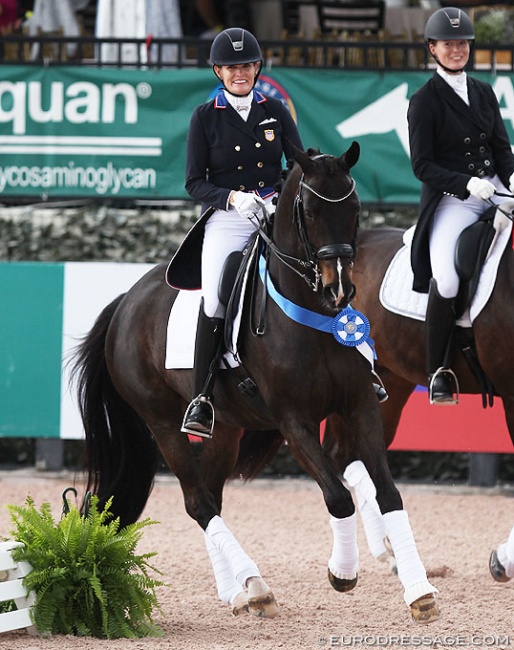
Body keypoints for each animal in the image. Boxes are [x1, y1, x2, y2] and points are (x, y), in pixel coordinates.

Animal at [72, 144, 436, 620]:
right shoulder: (294, 420)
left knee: (211, 496)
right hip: (163, 422)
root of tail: (126, 301)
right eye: (310, 211)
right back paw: (256, 586)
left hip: (226, 427)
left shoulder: (359, 405)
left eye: (355, 209)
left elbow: (389, 494)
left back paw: (240, 589)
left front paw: (419, 592)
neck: (309, 314)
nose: (339, 289)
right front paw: (342, 573)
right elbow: (338, 496)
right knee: (198, 501)